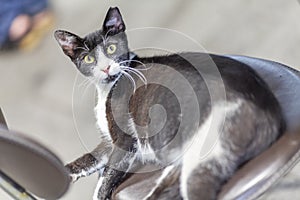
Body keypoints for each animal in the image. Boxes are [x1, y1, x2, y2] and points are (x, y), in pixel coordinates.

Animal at [54, 6, 286, 200]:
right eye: (88, 59)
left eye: (111, 48)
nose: (105, 68)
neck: (108, 86)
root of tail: (267, 115)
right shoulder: (109, 141)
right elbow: (91, 157)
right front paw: (64, 171)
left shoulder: (126, 141)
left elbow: (106, 177)